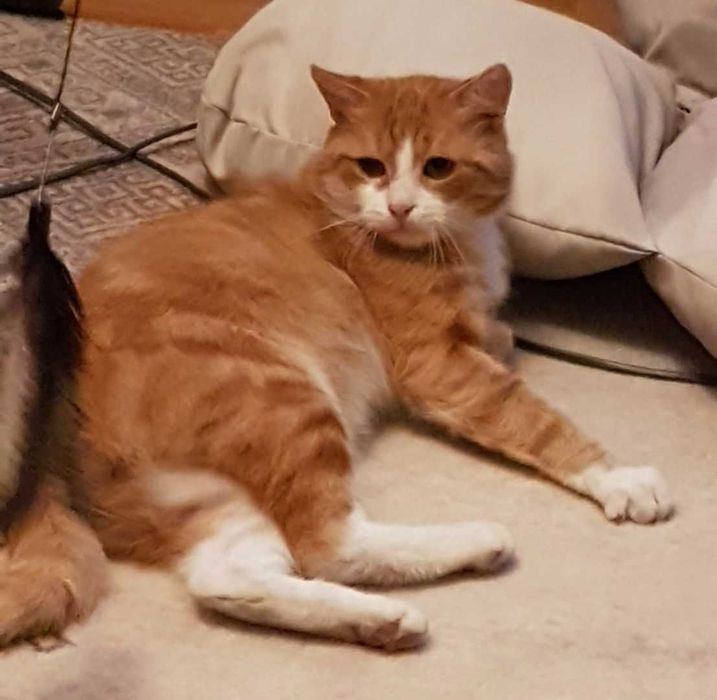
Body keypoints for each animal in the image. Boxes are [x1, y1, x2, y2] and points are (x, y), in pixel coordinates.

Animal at [0, 63, 673, 650]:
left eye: (437, 168)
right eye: (372, 166)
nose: (399, 207)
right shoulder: (439, 367)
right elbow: (535, 419)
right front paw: (620, 479)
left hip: (205, 492)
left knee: (229, 577)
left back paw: (382, 621)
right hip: (281, 398)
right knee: (330, 544)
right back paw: (476, 540)